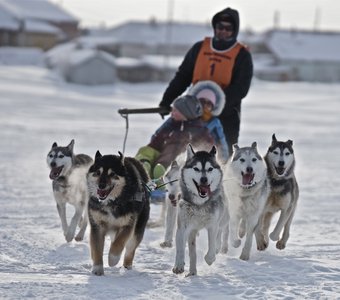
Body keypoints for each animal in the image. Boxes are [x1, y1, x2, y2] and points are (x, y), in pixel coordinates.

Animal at [173, 144, 226, 276]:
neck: (200, 205)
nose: (204, 179)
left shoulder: (213, 225)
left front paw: (209, 259)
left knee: (219, 234)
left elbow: (211, 246)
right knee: (192, 252)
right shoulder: (183, 226)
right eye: (196, 169)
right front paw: (179, 265)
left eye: (210, 169)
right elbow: (180, 247)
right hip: (191, 231)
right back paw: (192, 271)